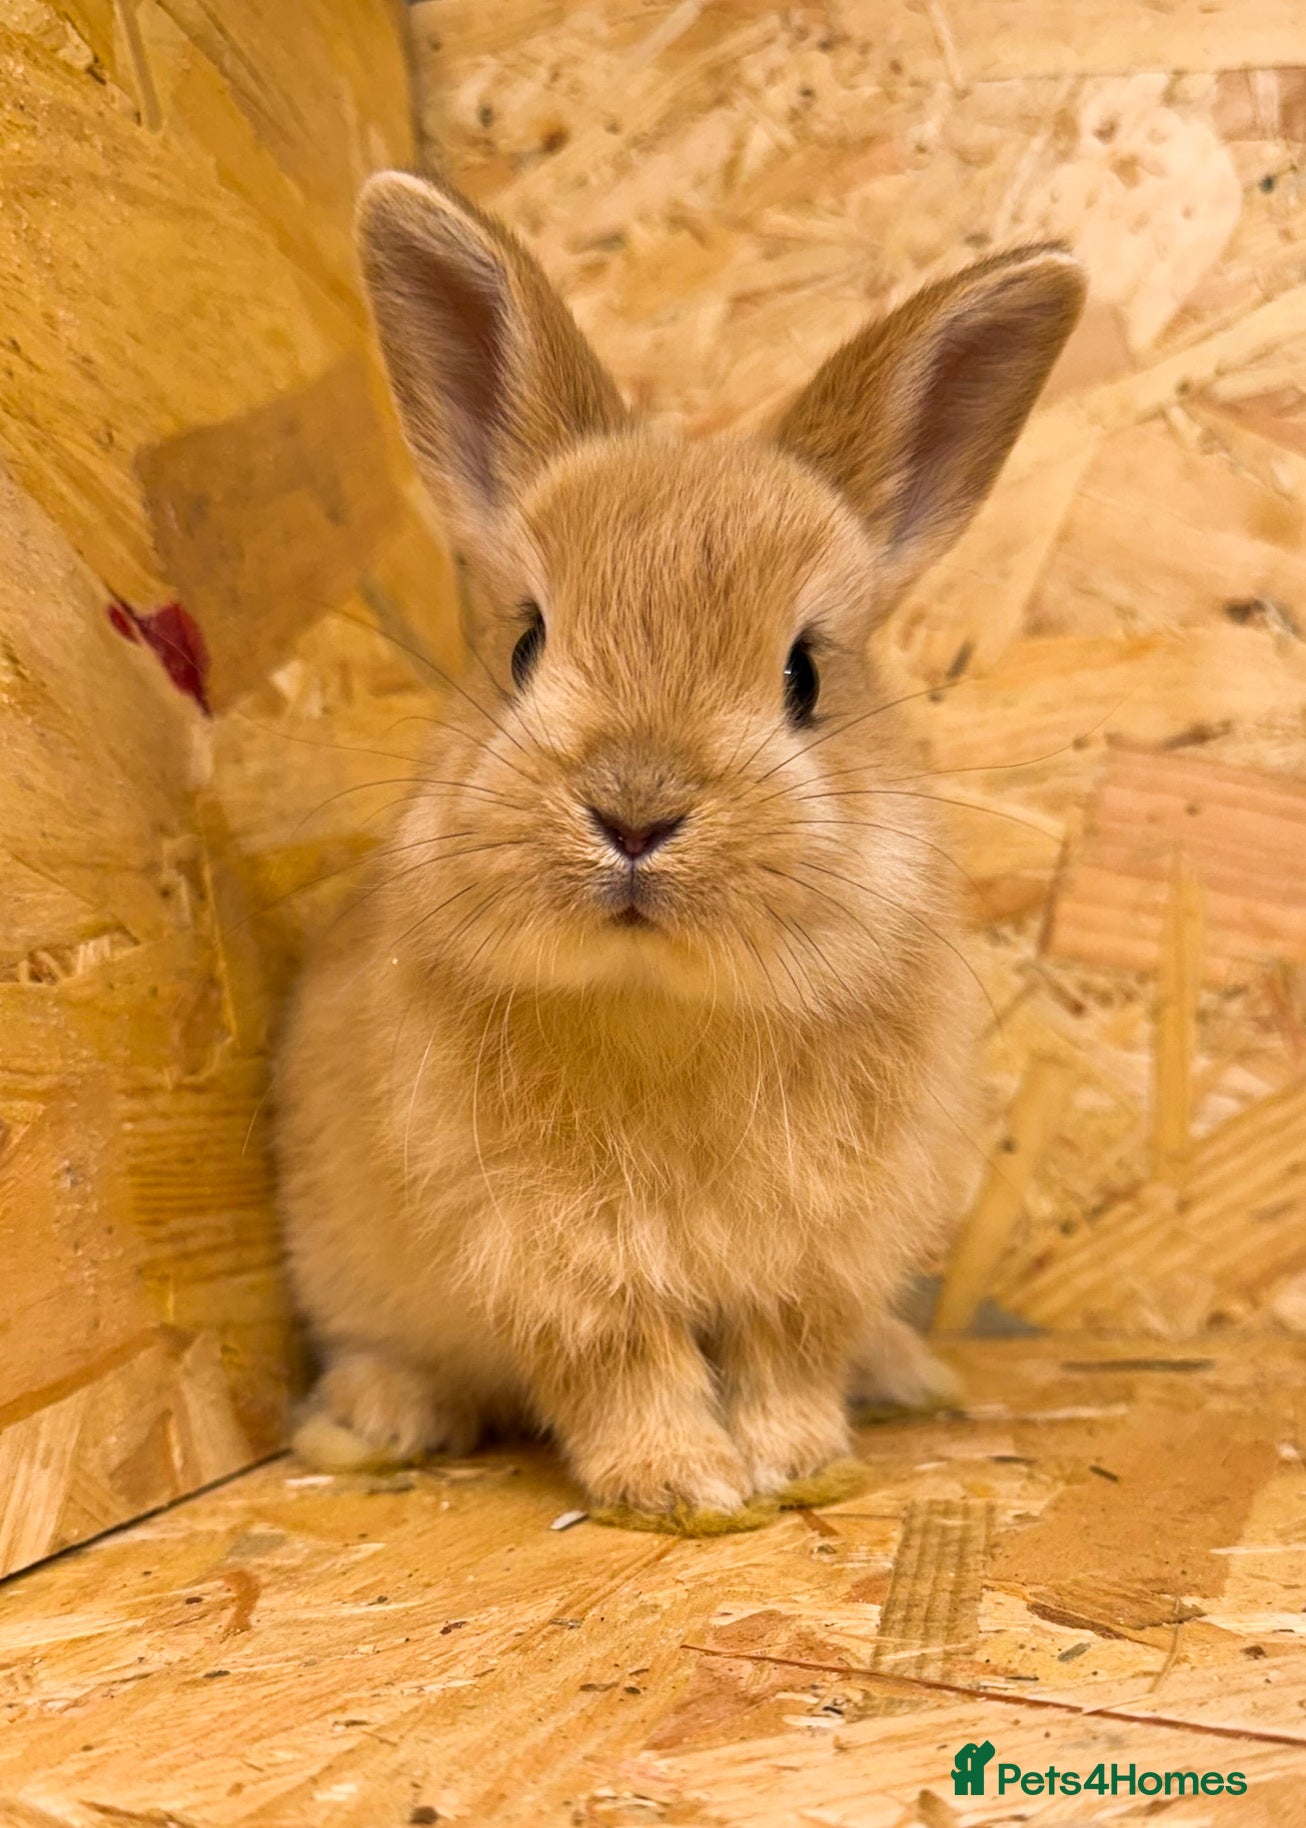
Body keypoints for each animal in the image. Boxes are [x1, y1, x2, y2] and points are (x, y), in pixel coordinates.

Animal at [275, 169, 1084, 1512]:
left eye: (807, 673)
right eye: (525, 643)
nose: (635, 810)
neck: (661, 1002)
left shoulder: (815, 1257)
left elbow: (787, 1352)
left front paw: (800, 1463)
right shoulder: (554, 1255)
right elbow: (623, 1357)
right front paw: (679, 1487)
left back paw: (907, 1373)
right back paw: (373, 1424)